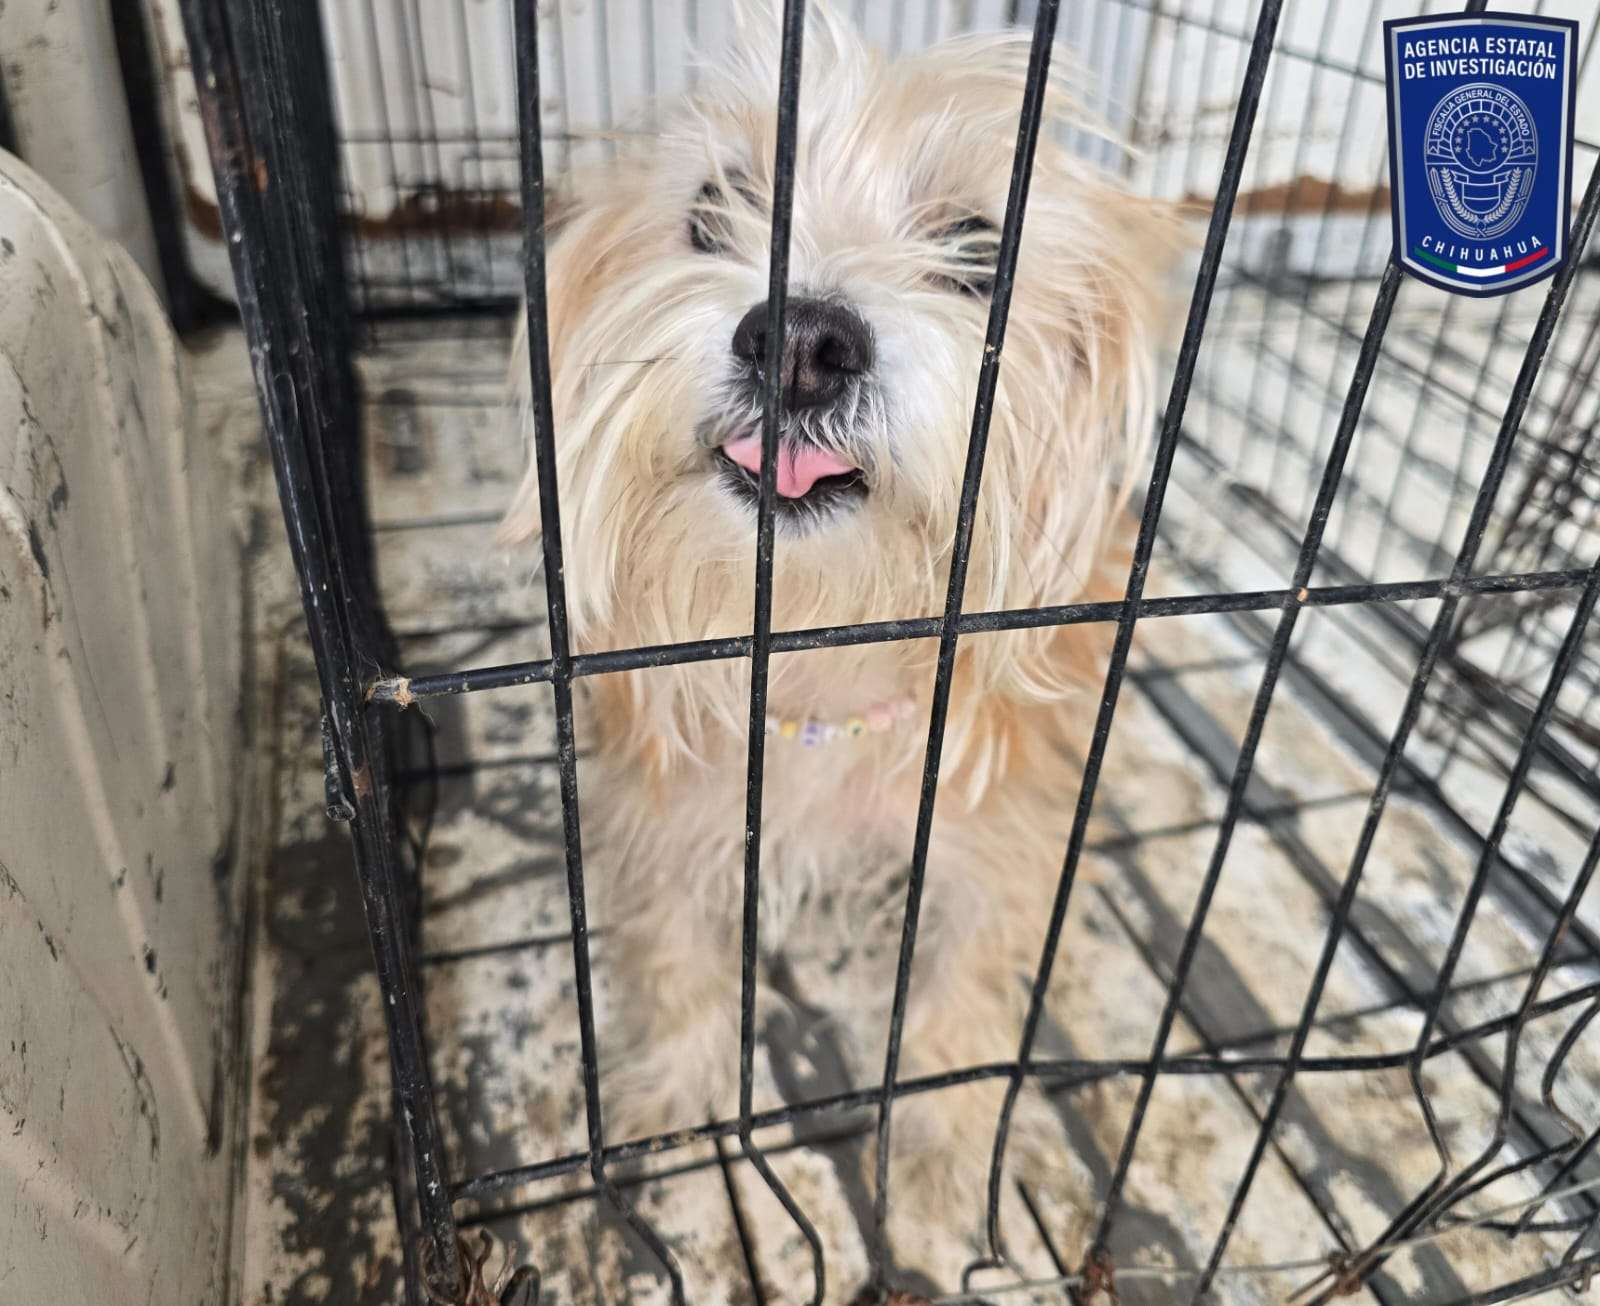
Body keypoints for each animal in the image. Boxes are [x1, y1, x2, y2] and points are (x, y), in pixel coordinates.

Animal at [501, 2, 1176, 1284]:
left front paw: (946, 1164)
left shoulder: (1000, 844)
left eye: (975, 247)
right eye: (714, 203)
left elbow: (965, 1006)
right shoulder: (661, 819)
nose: (802, 340)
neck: (821, 641)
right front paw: (673, 1099)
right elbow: (674, 960)